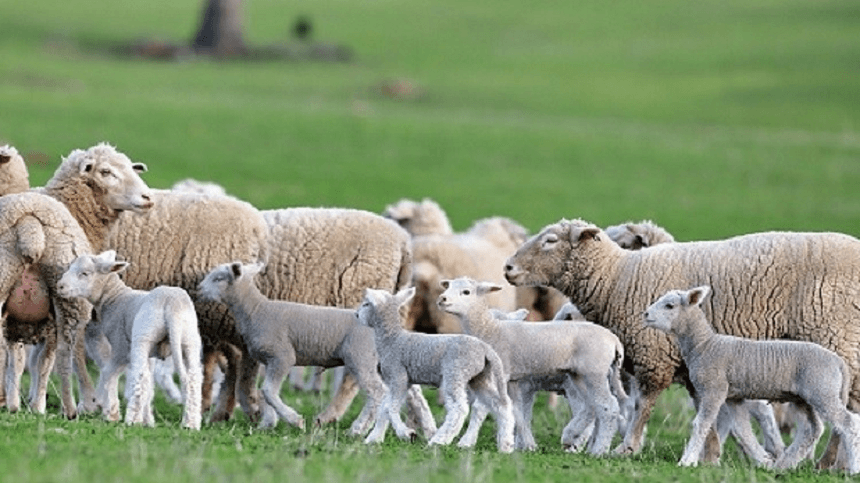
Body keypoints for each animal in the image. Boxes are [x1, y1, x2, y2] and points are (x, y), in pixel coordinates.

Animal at [58, 251, 203, 430]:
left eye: (85, 273)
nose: (60, 286)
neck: (115, 297)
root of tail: (172, 304)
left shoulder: (120, 346)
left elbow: (109, 373)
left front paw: (111, 414)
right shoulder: (151, 355)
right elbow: (149, 385)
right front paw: (147, 420)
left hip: (143, 336)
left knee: (139, 376)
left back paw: (132, 420)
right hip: (189, 339)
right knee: (193, 378)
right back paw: (191, 423)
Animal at [198, 260, 386, 434]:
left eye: (218, 278)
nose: (198, 289)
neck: (256, 310)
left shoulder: (282, 356)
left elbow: (268, 391)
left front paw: (294, 420)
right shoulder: (269, 360)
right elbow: (263, 393)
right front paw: (267, 423)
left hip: (361, 357)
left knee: (377, 392)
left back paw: (358, 429)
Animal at [358, 288, 512, 454]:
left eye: (366, 304)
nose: (356, 314)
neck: (392, 339)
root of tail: (485, 349)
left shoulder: (398, 375)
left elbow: (390, 408)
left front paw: (406, 433)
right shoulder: (401, 381)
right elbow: (384, 409)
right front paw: (373, 439)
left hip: (455, 372)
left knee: (458, 409)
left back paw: (438, 441)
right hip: (480, 377)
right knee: (500, 404)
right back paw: (506, 445)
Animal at [436, 278, 624, 456]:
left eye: (466, 292)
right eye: (448, 286)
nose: (442, 299)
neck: (490, 330)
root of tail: (614, 340)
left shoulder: (500, 374)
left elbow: (489, 408)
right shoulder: (513, 381)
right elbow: (518, 412)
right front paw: (527, 445)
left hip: (595, 373)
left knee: (609, 407)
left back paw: (598, 450)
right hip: (578, 375)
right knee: (592, 406)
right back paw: (572, 435)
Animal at [504, 218, 860, 462]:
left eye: (550, 241)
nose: (508, 267)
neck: (619, 278)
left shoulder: (654, 354)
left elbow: (643, 406)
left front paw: (627, 447)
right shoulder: (692, 367)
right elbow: (705, 411)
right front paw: (711, 456)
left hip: (836, 341)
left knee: (843, 414)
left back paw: (828, 462)